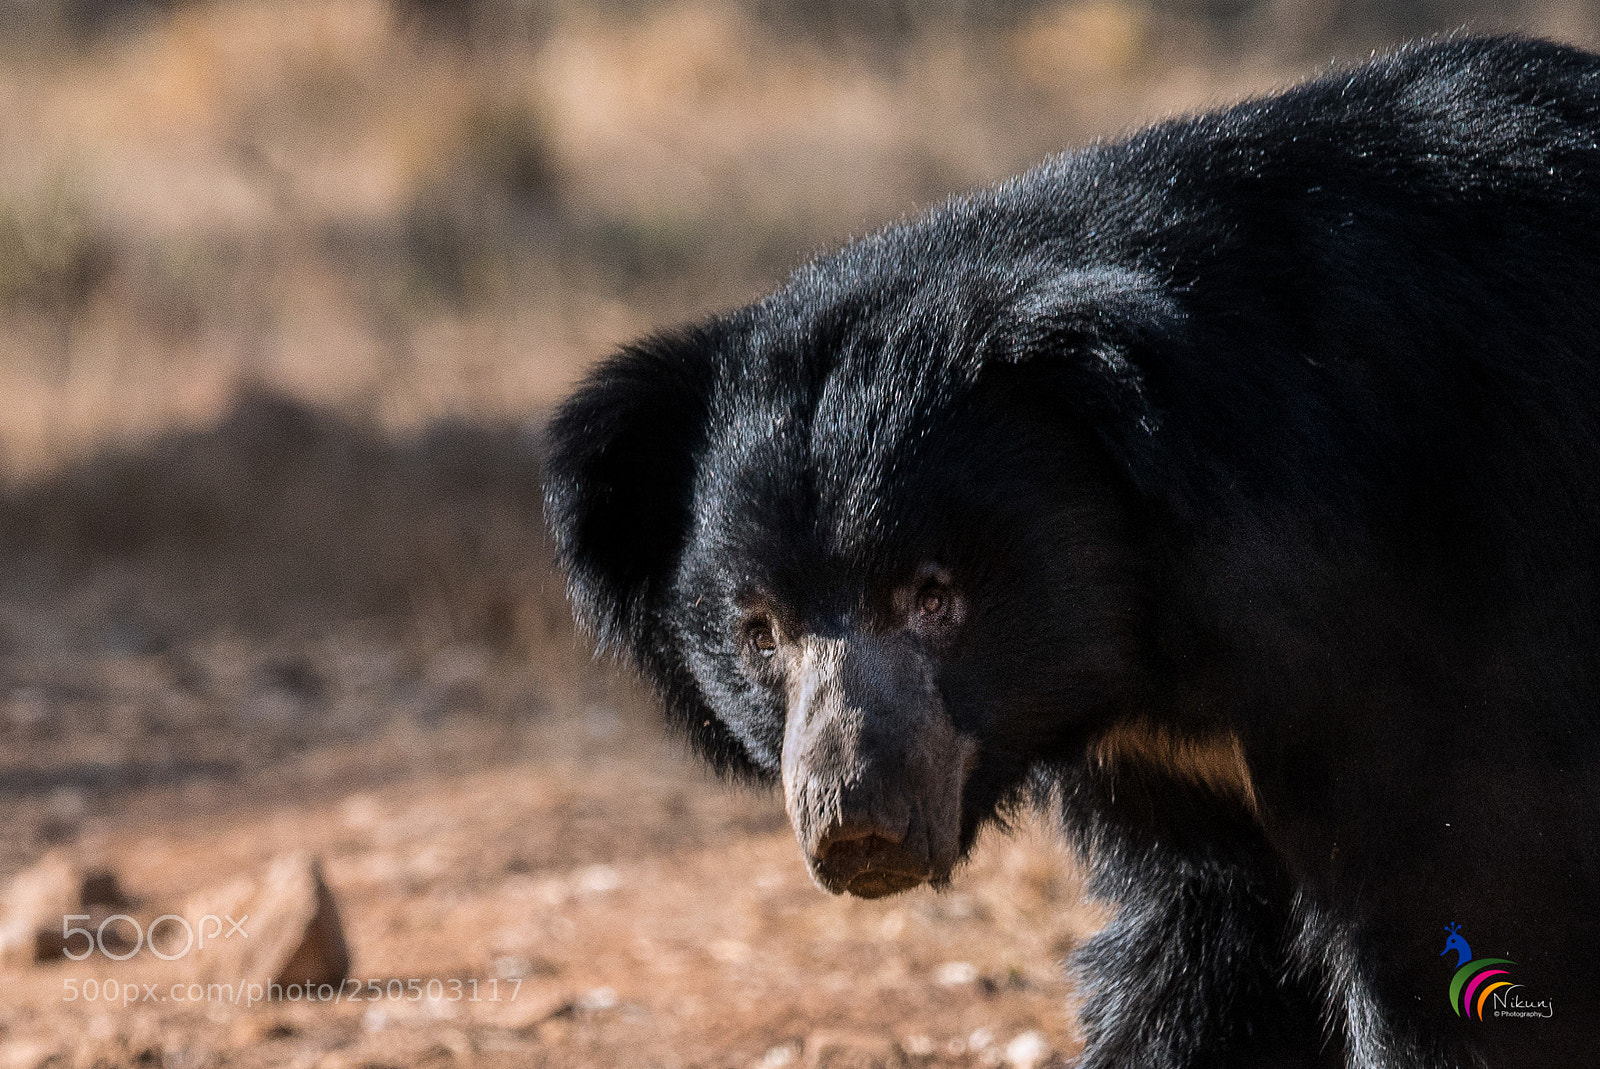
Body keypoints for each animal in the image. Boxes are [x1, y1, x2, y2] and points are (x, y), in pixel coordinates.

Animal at [543, 36, 1600, 1069]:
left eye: (935, 595)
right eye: (761, 632)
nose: (854, 822)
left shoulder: (1461, 622)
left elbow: (1470, 921)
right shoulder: (1186, 790)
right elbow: (1202, 965)